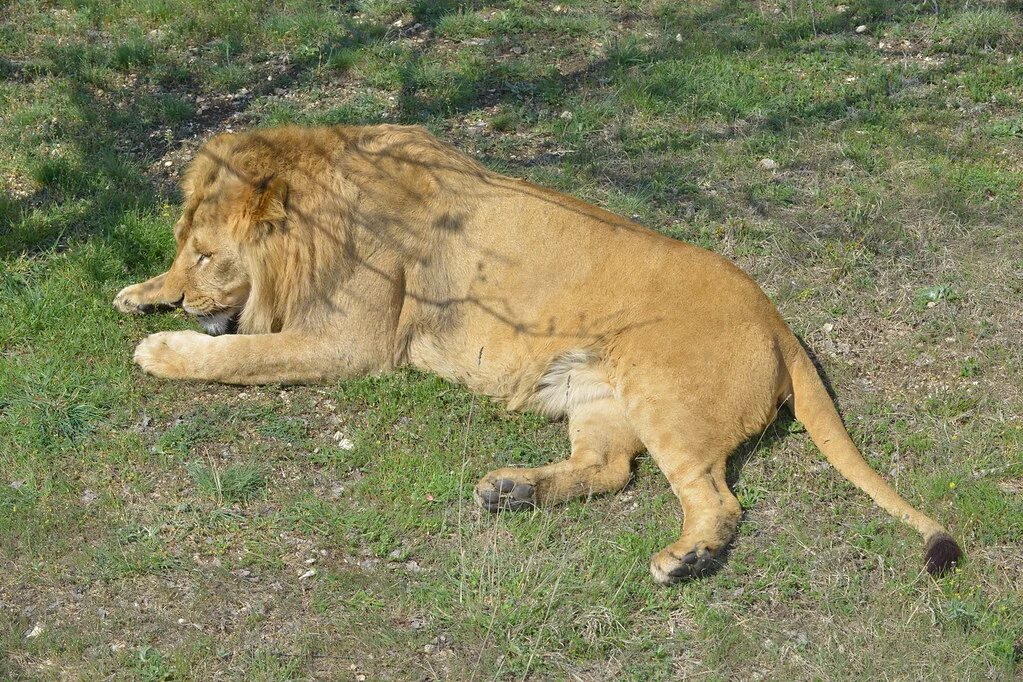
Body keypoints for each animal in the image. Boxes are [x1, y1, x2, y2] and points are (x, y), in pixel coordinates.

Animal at [116, 125, 961, 584]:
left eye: (208, 257)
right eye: (183, 248)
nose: (184, 299)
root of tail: (777, 320)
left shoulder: (351, 341)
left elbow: (242, 355)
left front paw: (163, 347)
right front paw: (138, 292)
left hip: (657, 388)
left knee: (716, 500)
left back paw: (683, 559)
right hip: (597, 395)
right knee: (609, 469)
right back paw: (510, 491)